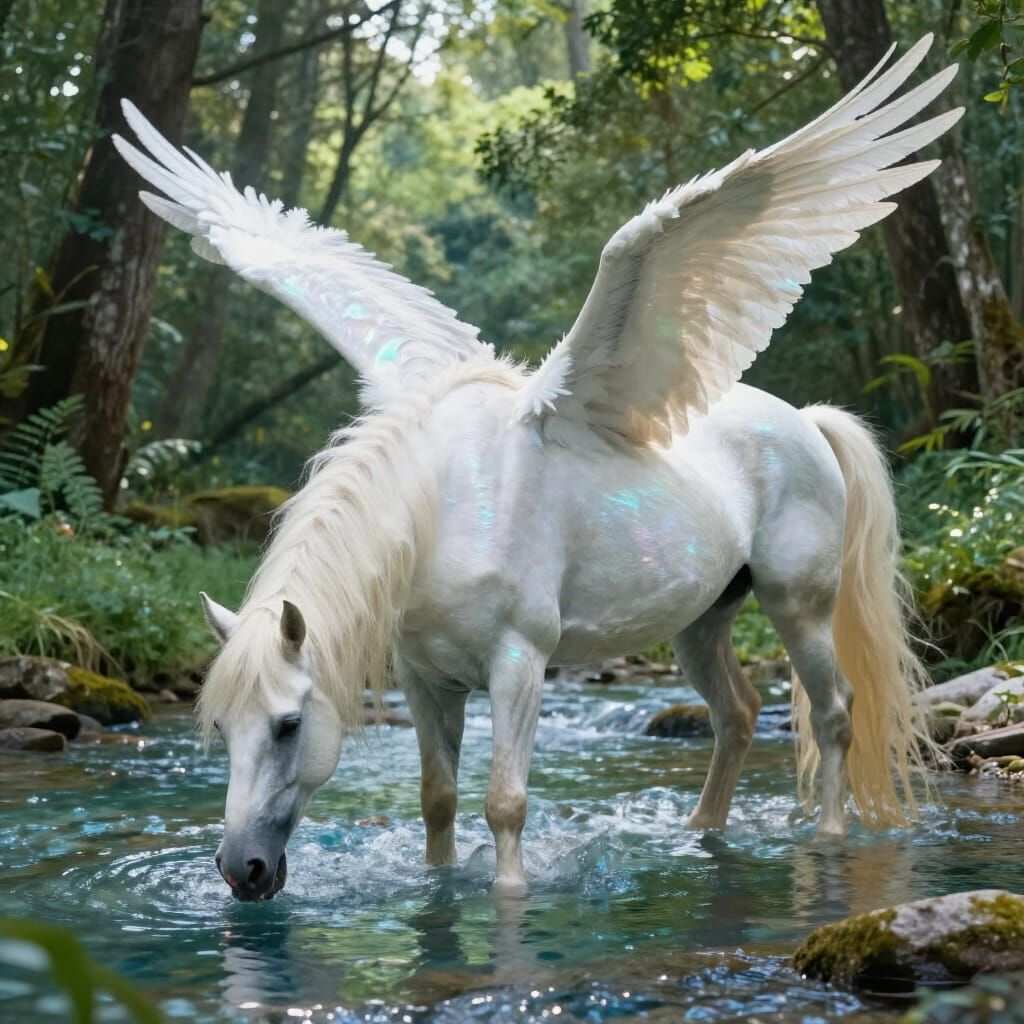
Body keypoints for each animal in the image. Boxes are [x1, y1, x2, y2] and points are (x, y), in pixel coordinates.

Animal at [115, 35, 958, 899]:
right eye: (221, 725)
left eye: (288, 724)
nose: (243, 870)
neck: (442, 511)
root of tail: (806, 423)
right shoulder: (425, 678)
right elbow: (439, 799)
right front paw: (440, 886)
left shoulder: (518, 665)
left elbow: (506, 802)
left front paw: (510, 897)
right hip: (700, 622)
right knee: (738, 714)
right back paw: (700, 834)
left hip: (799, 607)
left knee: (834, 713)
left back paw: (826, 837)